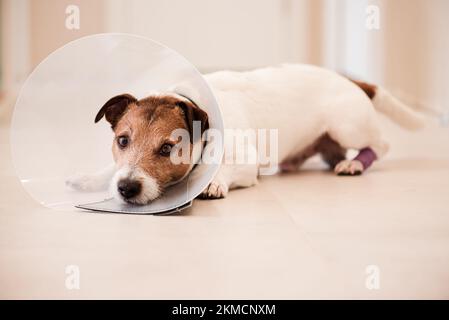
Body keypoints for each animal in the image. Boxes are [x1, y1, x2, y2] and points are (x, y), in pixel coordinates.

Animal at [66, 64, 424, 204]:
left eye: (168, 148)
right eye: (122, 141)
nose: (126, 188)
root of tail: (349, 80)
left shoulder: (247, 162)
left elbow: (225, 169)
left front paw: (212, 182)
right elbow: (108, 168)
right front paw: (91, 178)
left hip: (347, 126)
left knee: (381, 145)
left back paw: (355, 163)